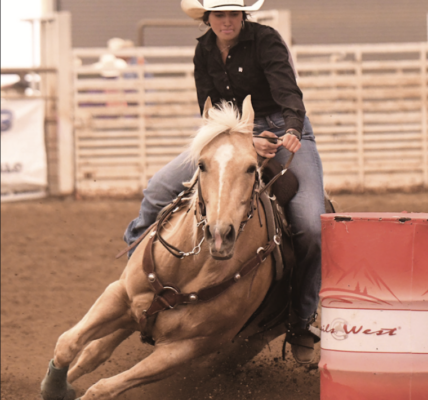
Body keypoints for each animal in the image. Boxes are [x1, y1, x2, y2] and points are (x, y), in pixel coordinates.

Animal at [41, 96, 293, 400]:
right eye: (202, 164)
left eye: (251, 167)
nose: (220, 234)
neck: (188, 268)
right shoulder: (119, 294)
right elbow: (68, 343)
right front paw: (54, 387)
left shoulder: (187, 348)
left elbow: (102, 388)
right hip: (135, 313)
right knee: (95, 350)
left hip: (251, 339)